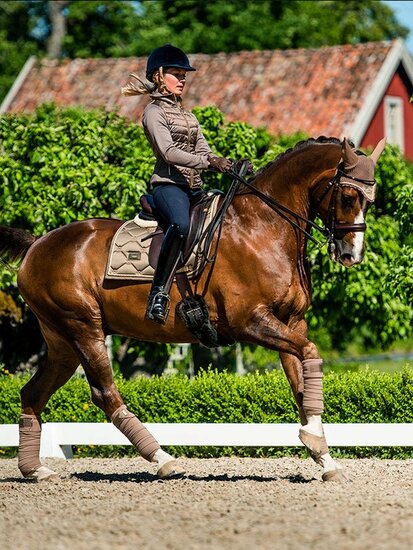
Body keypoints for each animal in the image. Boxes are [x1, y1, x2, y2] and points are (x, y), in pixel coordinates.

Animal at [1, 137, 384, 484]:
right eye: (348, 197)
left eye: (370, 200)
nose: (351, 254)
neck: (264, 226)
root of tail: (37, 244)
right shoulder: (251, 321)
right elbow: (311, 354)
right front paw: (316, 443)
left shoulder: (292, 322)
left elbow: (303, 379)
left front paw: (323, 454)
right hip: (83, 328)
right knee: (105, 394)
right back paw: (163, 459)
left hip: (63, 342)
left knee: (32, 394)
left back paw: (35, 470)